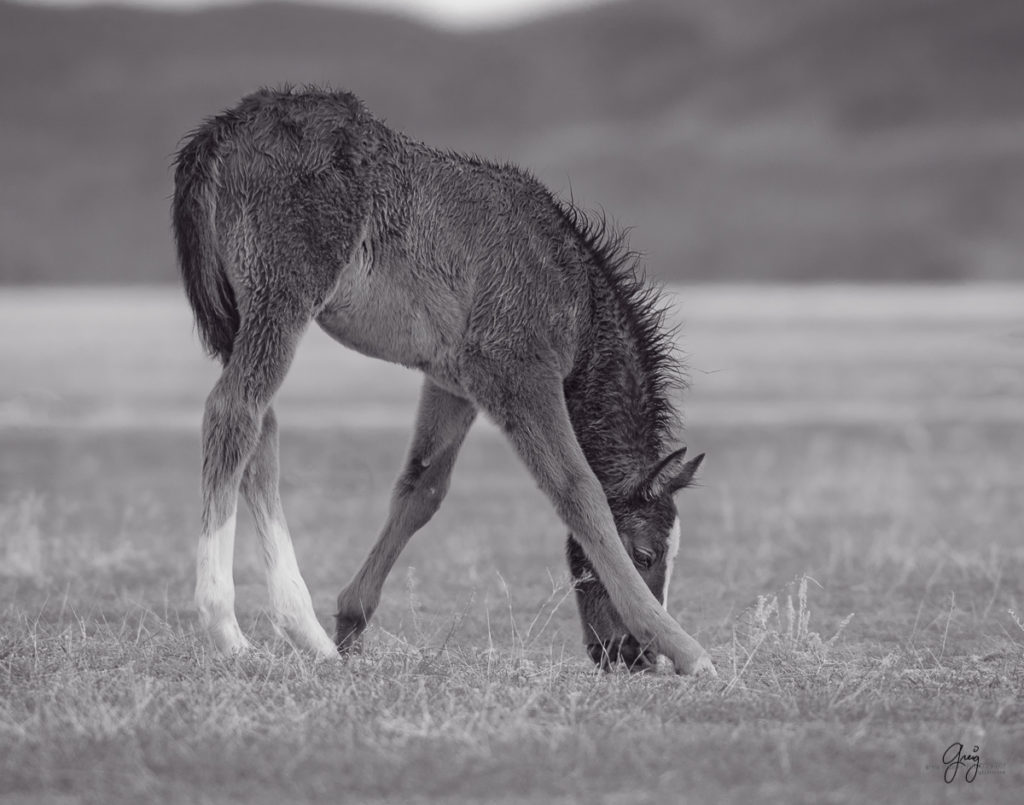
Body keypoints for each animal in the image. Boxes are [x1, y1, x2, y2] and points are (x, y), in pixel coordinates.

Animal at [172, 88, 716, 675]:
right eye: (646, 553)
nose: (631, 656)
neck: (571, 289)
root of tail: (218, 134)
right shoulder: (519, 371)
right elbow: (578, 490)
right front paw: (687, 650)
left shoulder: (454, 382)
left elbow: (423, 487)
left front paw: (351, 622)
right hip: (283, 294)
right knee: (234, 412)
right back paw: (231, 628)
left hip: (235, 316)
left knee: (261, 431)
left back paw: (312, 638)